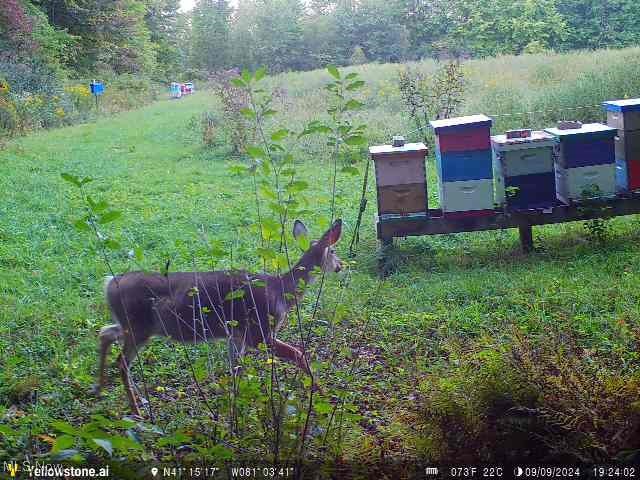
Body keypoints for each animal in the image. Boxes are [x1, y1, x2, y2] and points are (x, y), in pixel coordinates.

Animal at [93, 219, 342, 414]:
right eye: (333, 251)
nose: (341, 265)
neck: (282, 292)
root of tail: (109, 284)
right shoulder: (259, 332)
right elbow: (299, 354)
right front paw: (325, 396)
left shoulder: (237, 336)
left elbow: (235, 370)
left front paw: (234, 408)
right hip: (139, 326)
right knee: (121, 361)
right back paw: (136, 410)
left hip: (130, 324)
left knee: (105, 333)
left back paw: (101, 389)